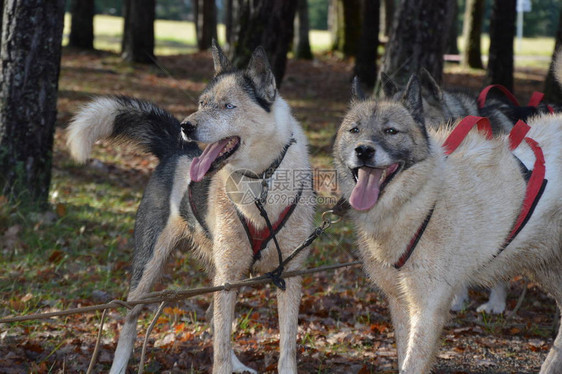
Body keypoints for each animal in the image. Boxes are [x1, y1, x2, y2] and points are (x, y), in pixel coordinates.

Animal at [65, 42, 316, 372]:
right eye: (202, 102)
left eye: (228, 106)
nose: (186, 125)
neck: (260, 180)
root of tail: (176, 148)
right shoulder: (227, 278)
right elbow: (219, 350)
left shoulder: (288, 276)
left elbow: (286, 348)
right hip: (151, 268)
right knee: (130, 321)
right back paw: (118, 365)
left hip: (225, 274)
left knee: (213, 318)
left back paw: (239, 365)